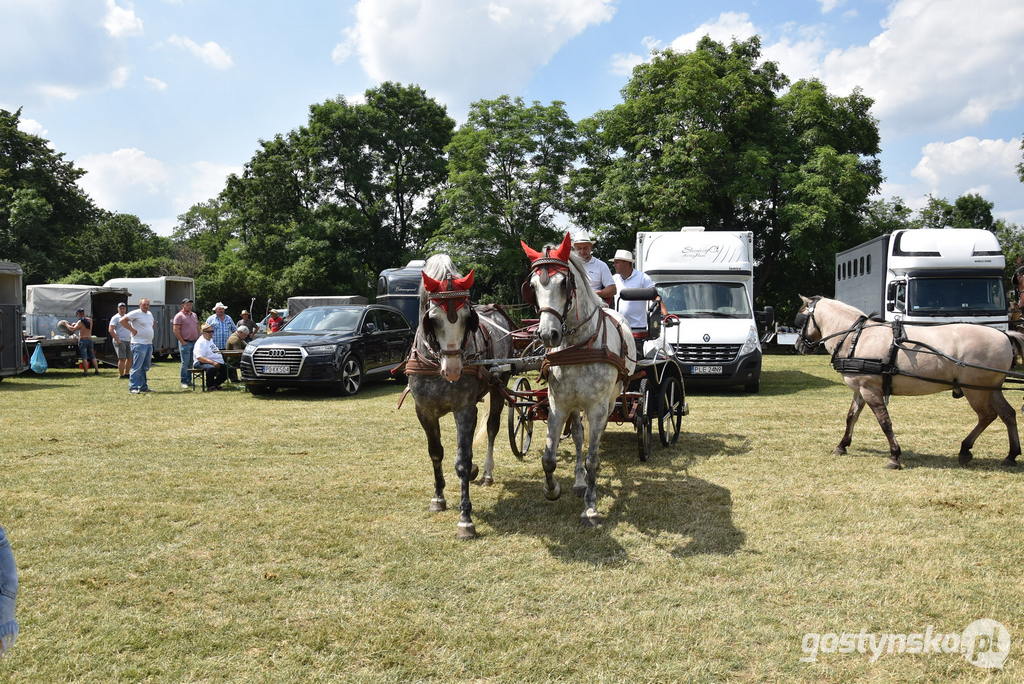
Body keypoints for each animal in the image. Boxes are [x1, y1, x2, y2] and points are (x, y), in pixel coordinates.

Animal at [401, 255, 509, 540]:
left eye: (466, 318)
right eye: (433, 318)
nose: (452, 370)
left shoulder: (465, 410)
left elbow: (463, 460)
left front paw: (465, 519)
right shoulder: (424, 411)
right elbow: (435, 453)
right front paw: (438, 497)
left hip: (499, 386)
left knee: (492, 428)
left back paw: (486, 473)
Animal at [524, 232, 634, 528]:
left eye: (564, 283)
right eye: (533, 285)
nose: (547, 334)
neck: (579, 346)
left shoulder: (597, 407)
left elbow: (593, 459)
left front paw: (591, 507)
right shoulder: (557, 404)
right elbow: (549, 457)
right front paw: (553, 489)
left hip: (610, 402)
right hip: (575, 406)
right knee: (577, 435)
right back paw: (578, 481)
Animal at [798, 296, 1024, 466]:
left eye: (800, 319)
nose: (799, 344)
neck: (857, 338)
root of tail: (1004, 335)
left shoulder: (870, 389)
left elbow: (884, 422)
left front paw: (895, 455)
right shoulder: (860, 389)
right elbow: (851, 417)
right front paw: (842, 445)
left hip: (976, 390)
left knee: (987, 416)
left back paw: (965, 449)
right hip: (991, 388)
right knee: (1007, 414)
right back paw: (1010, 455)